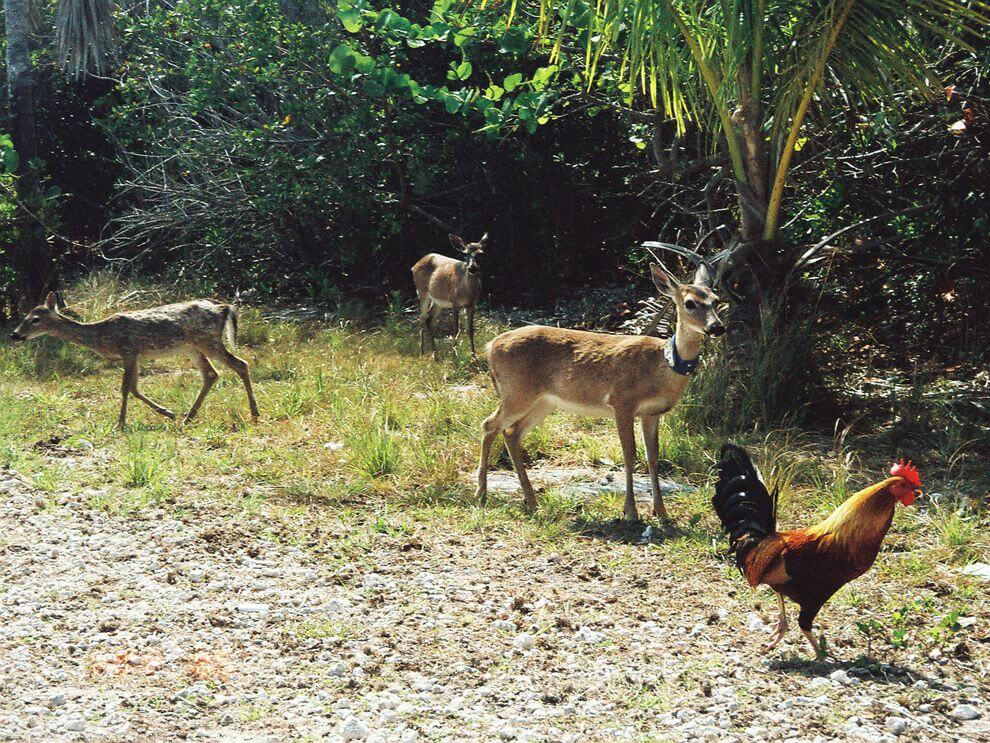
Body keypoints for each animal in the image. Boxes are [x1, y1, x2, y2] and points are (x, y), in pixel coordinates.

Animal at [11, 294, 260, 428]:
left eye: (35, 319)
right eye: (24, 316)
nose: (15, 334)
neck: (103, 337)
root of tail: (222, 308)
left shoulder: (129, 351)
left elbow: (124, 388)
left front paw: (120, 423)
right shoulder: (136, 355)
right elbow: (134, 388)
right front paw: (168, 412)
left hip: (207, 340)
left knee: (240, 364)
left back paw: (254, 413)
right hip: (192, 347)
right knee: (211, 374)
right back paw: (188, 417)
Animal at [476, 266, 724, 524]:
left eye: (716, 300)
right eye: (689, 303)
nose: (717, 327)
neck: (662, 365)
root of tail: (490, 346)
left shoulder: (652, 413)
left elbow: (652, 457)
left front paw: (662, 513)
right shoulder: (622, 402)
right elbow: (629, 455)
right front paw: (631, 511)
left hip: (543, 402)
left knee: (511, 432)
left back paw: (531, 501)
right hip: (517, 391)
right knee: (489, 425)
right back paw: (481, 495)